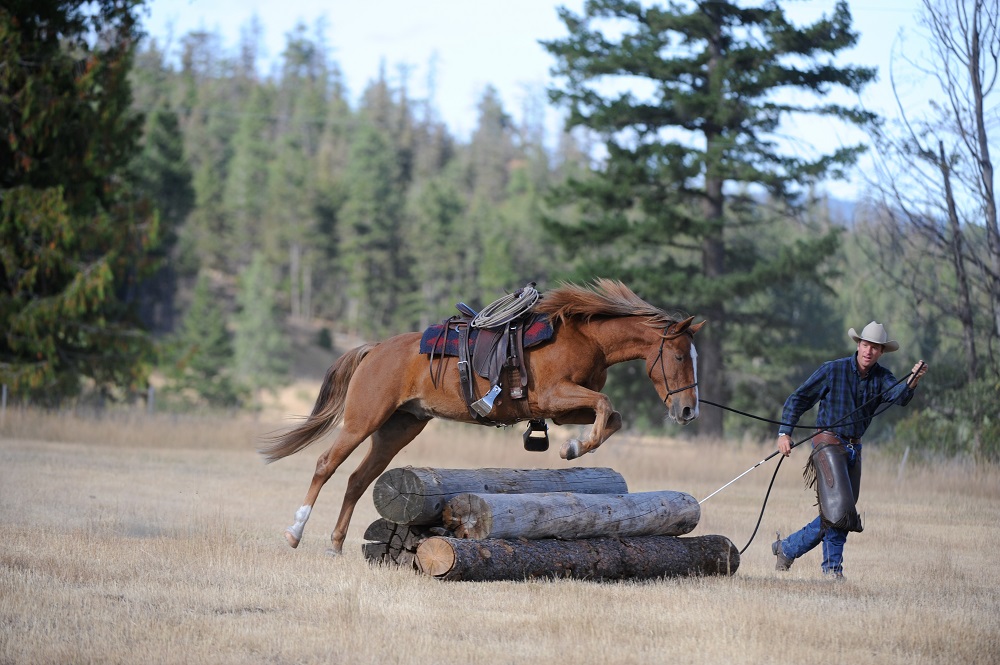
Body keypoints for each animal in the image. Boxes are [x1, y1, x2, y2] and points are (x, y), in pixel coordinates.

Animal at [260, 279, 705, 554]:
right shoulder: (556, 395)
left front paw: (575, 447)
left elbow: (611, 415)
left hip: (398, 428)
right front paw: (574, 449)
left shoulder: (561, 408)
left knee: (357, 479)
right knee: (325, 465)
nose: (688, 410)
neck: (586, 337)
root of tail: (375, 349)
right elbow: (607, 405)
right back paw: (295, 532)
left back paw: (336, 543)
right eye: (680, 357)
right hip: (362, 420)